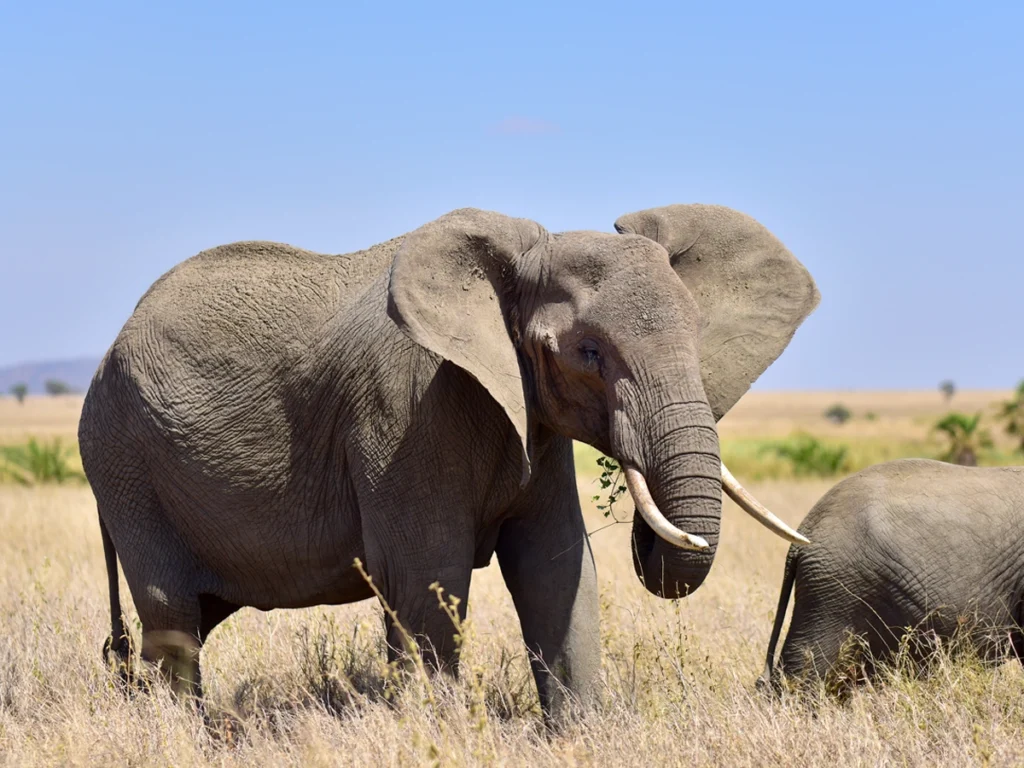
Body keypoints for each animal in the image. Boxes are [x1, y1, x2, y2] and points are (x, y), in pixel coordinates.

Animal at [75, 202, 819, 720]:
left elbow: (557, 571)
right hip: (123, 462)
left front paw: (580, 736)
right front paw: (438, 734)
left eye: (697, 335)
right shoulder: (405, 414)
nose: (651, 525)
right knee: (173, 624)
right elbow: (427, 579)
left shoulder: (531, 422)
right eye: (588, 353)